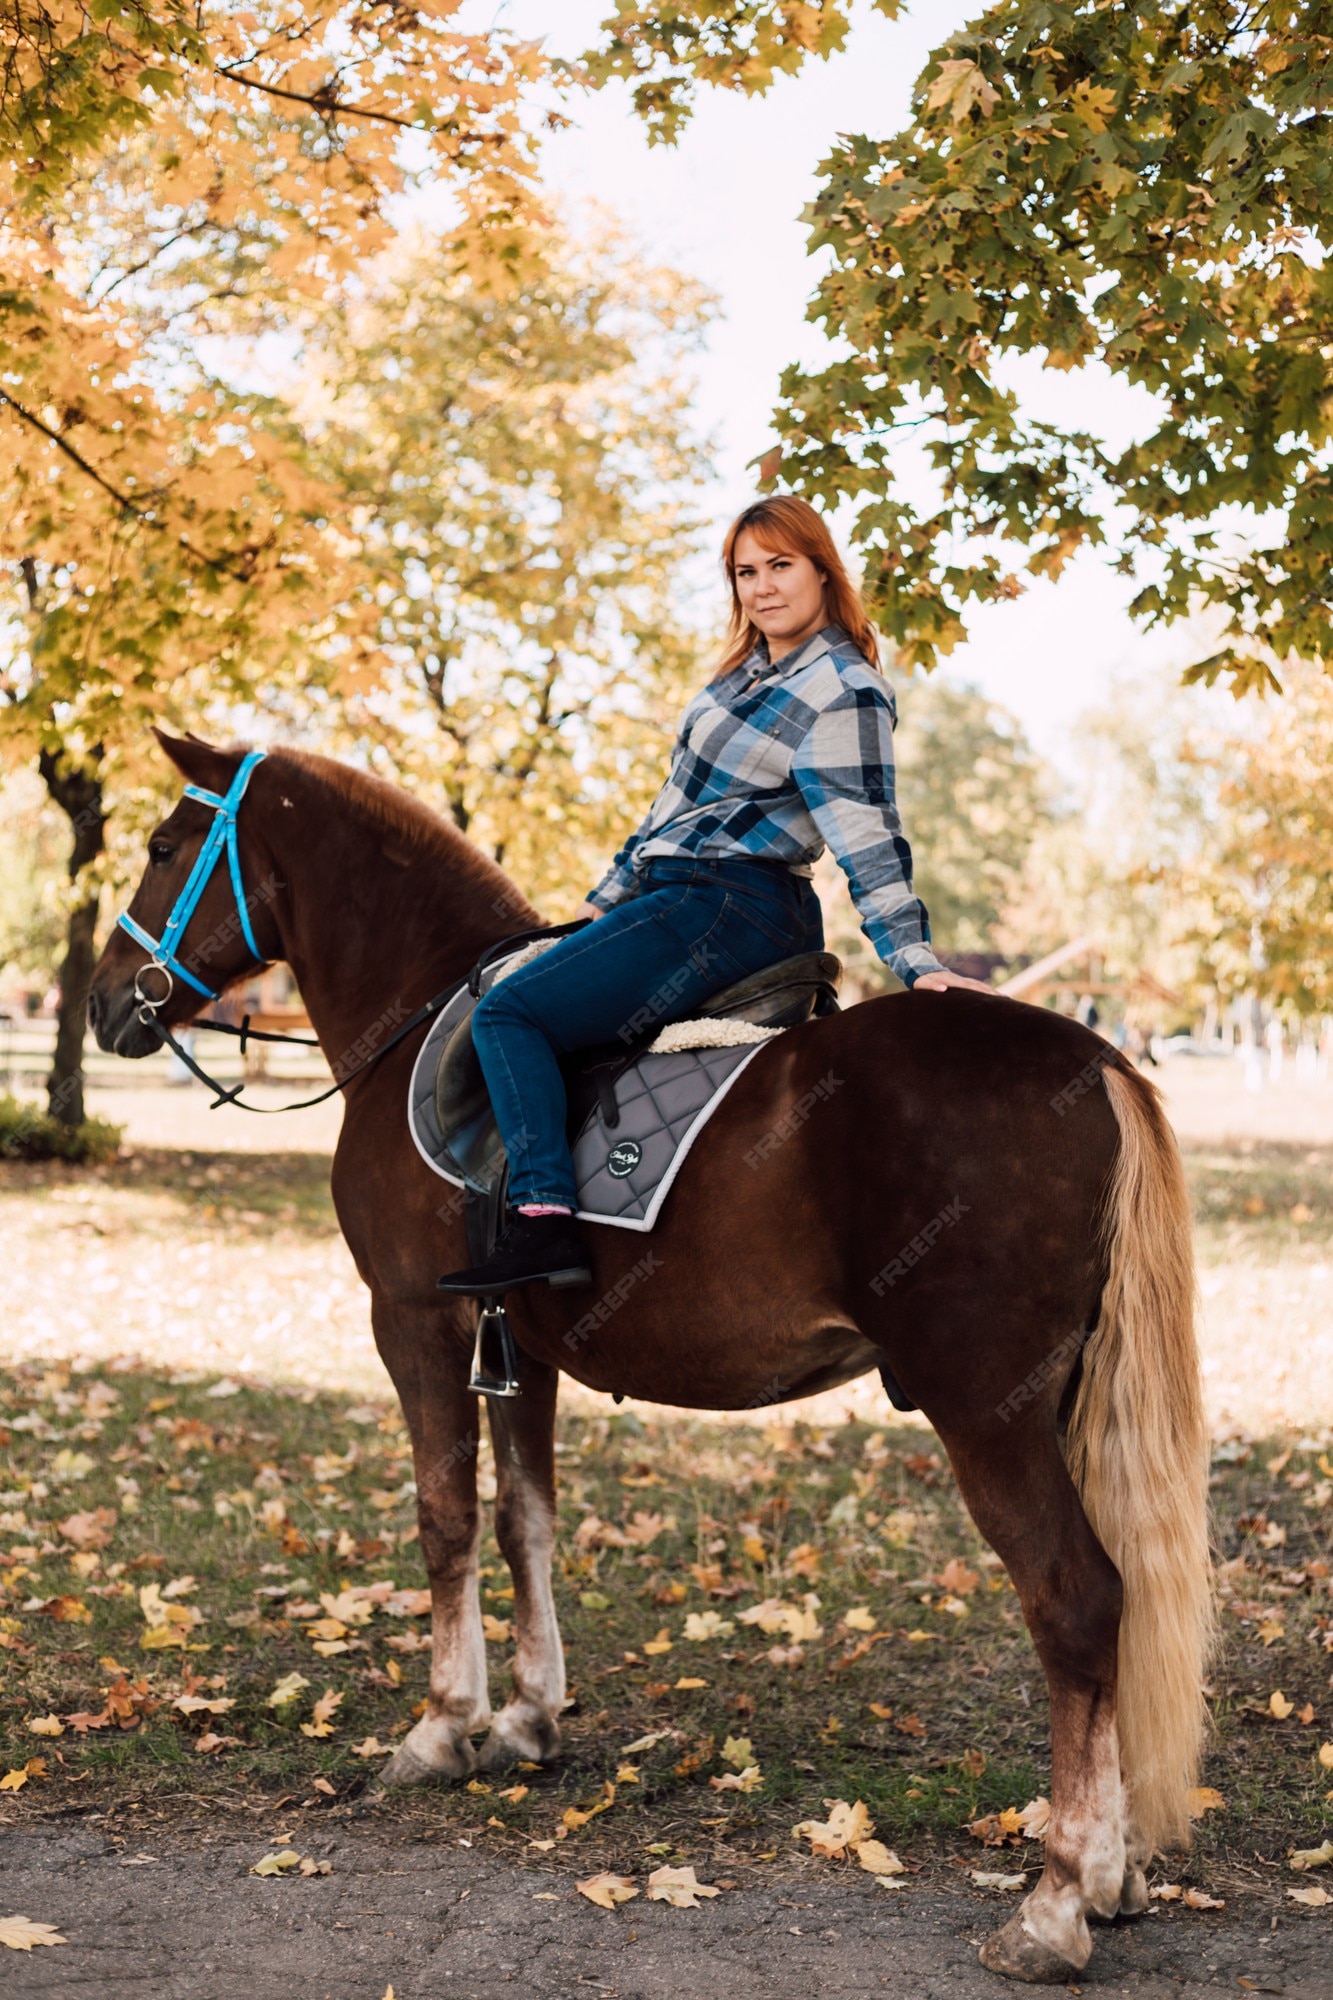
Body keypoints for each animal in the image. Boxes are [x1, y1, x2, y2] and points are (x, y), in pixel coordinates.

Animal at [88, 740, 1208, 1984]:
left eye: (161, 846)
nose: (100, 998)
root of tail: (1095, 1058)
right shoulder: (518, 1349)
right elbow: (523, 1518)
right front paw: (528, 1715)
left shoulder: (415, 1325)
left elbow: (444, 1516)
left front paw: (443, 1722)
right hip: (1062, 1401)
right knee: (1119, 1601)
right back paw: (1111, 1870)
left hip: (987, 1408)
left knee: (1076, 1598)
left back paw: (1058, 1900)